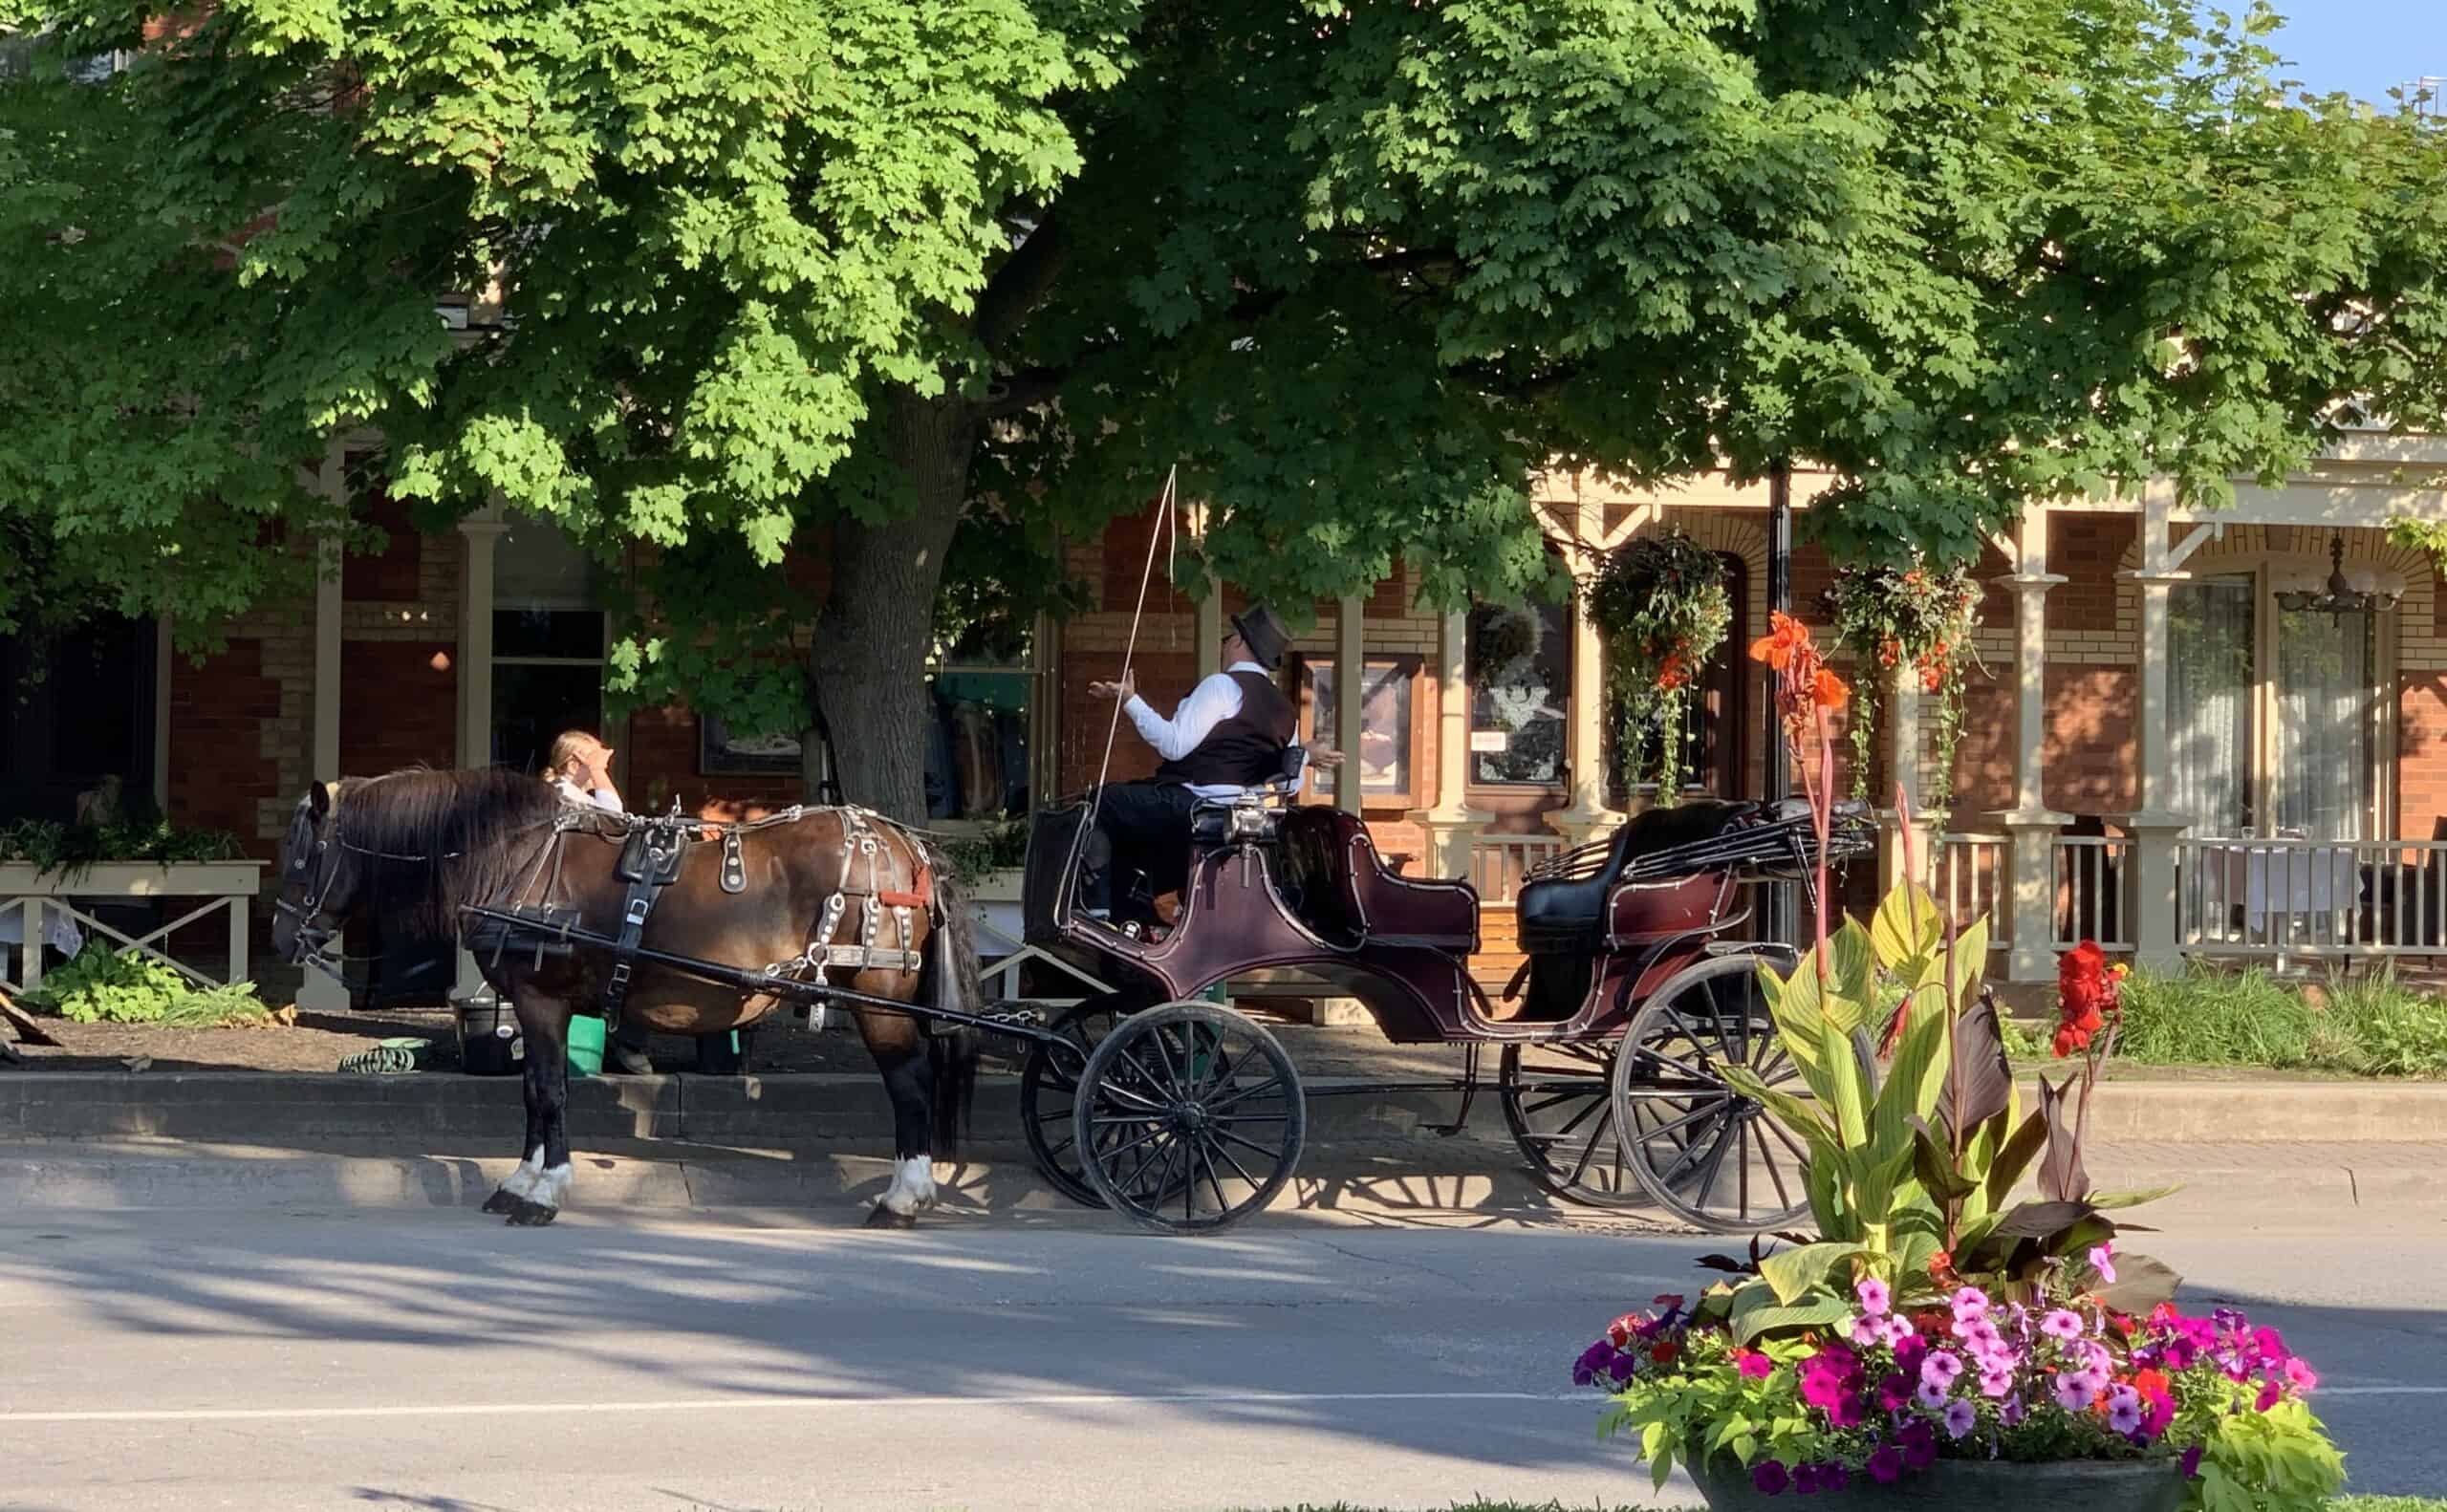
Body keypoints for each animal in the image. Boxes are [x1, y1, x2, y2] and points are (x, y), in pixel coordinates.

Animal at [270, 772, 984, 1218]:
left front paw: (543, 1192)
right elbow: (533, 1091)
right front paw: (521, 1179)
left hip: (879, 999)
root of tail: (903, 844)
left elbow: (548, 1092)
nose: (279, 936)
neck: (520, 856)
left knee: (910, 1085)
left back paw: (903, 1197)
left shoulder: (541, 999)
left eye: (303, 856)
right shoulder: (535, 1007)